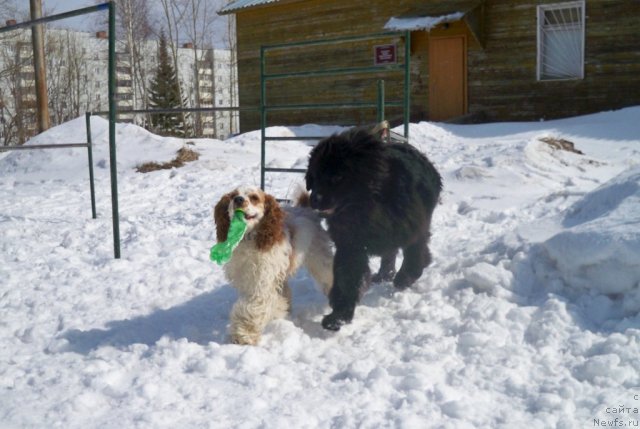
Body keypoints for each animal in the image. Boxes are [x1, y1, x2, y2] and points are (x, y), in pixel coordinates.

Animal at [215, 186, 336, 346]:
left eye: (254, 197)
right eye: (233, 195)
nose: (238, 200)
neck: (249, 239)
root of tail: (305, 209)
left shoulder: (263, 281)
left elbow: (254, 306)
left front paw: (244, 335)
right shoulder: (249, 278)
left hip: (319, 260)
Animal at [304, 128, 440, 332]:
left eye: (337, 177)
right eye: (315, 176)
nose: (314, 199)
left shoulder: (414, 227)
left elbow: (415, 254)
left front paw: (405, 277)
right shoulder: (350, 244)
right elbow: (347, 277)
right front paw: (339, 316)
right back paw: (384, 274)